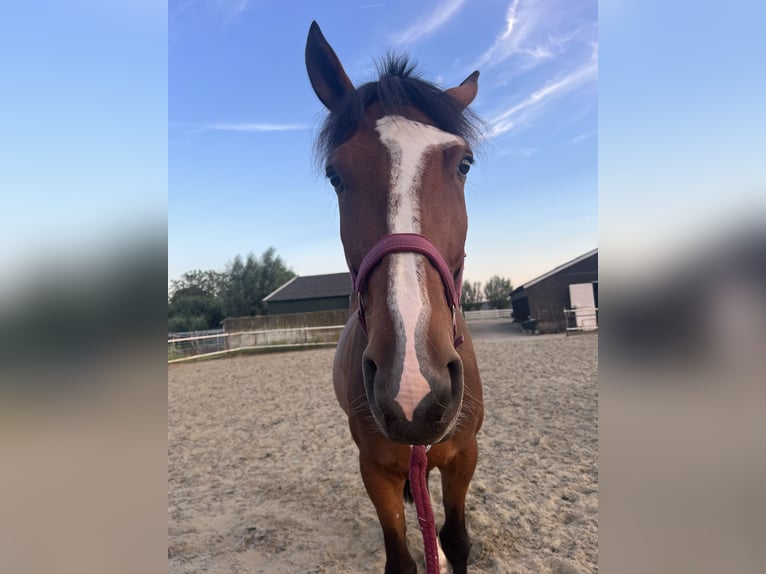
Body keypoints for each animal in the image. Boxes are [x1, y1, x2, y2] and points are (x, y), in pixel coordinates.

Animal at [306, 22, 486, 574]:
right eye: (335, 175)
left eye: (464, 164)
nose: (412, 385)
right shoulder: (373, 467)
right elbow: (402, 557)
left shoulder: (465, 455)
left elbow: (457, 539)